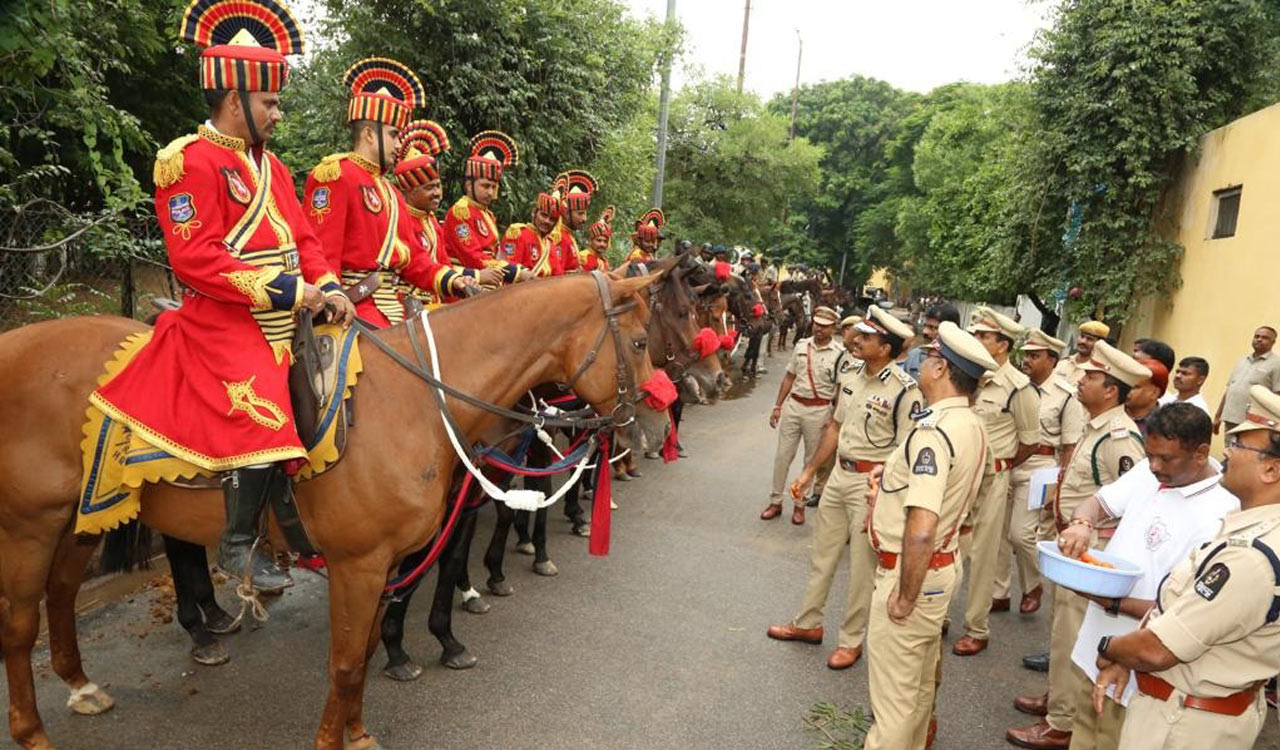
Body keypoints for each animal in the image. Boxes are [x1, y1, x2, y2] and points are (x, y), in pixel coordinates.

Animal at [2, 270, 670, 747]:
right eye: (639, 341)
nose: (658, 427)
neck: (418, 399)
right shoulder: (358, 564)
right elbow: (347, 663)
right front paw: (337, 737)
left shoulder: (387, 563)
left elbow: (368, 649)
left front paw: (358, 732)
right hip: (30, 526)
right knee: (20, 626)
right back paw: (34, 732)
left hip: (81, 518)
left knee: (60, 593)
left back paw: (81, 685)